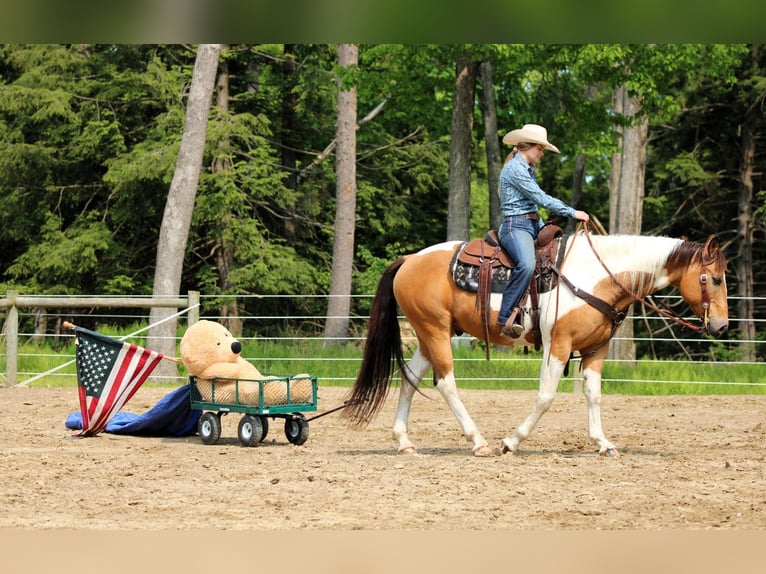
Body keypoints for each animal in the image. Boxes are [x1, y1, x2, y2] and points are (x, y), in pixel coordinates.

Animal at [341, 228, 729, 457]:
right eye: (714, 278)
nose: (722, 325)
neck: (597, 276)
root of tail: (410, 259)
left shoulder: (595, 349)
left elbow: (594, 395)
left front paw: (603, 443)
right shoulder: (558, 344)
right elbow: (545, 397)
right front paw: (512, 441)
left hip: (429, 334)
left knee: (410, 378)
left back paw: (405, 442)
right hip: (435, 331)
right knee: (446, 383)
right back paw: (479, 441)